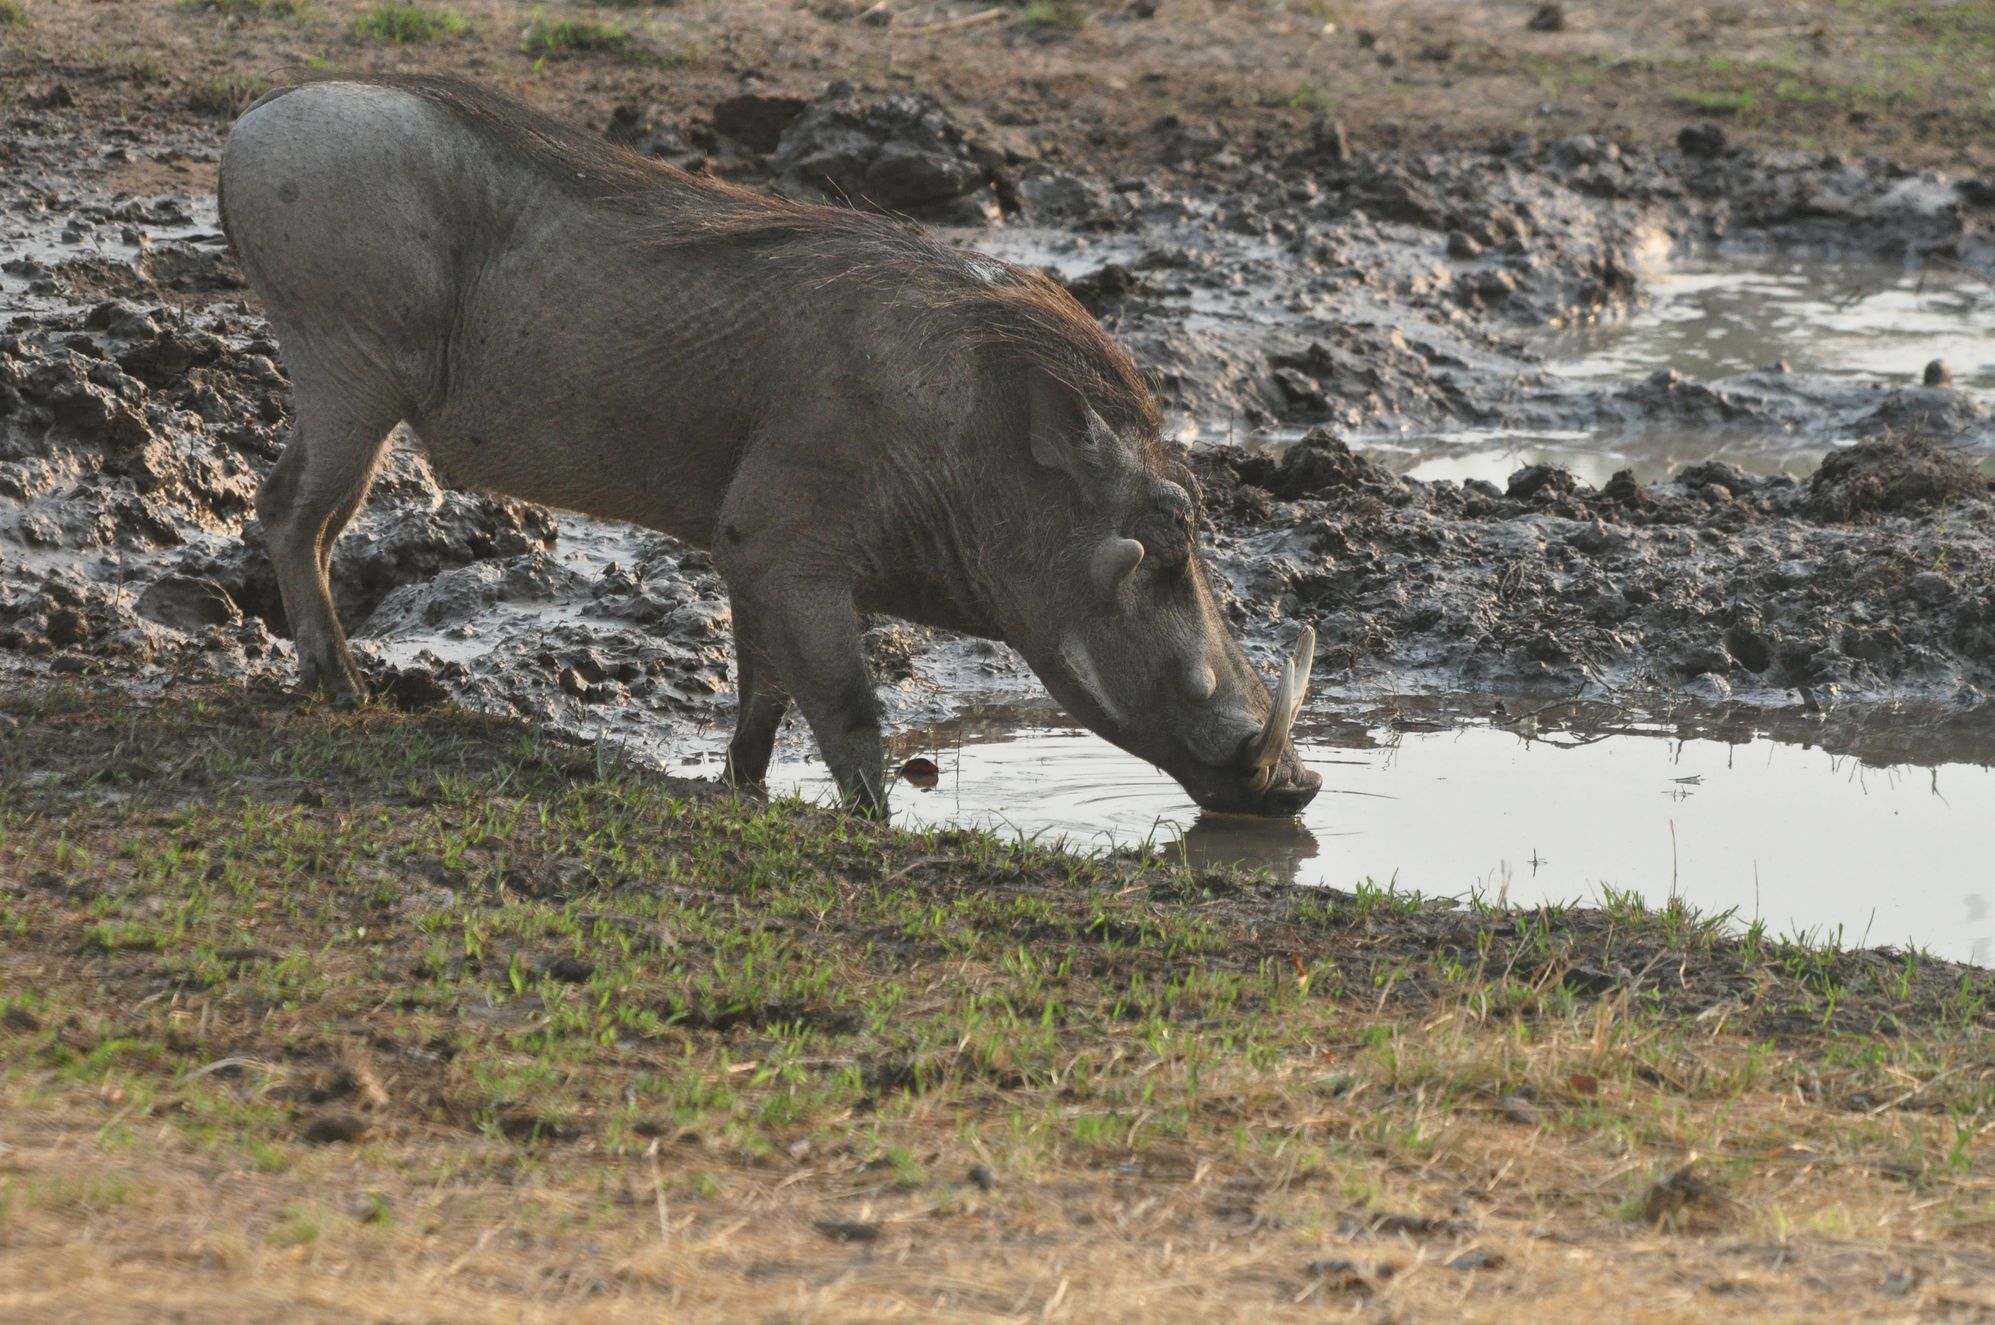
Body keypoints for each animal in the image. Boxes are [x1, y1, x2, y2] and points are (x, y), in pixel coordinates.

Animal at [218, 75, 1321, 817]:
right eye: (1167, 532)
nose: (1301, 786)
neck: (967, 439)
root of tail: (247, 126)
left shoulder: (748, 549)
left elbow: (764, 694)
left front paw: (742, 792)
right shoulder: (789, 543)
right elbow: (849, 708)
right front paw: (875, 830)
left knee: (306, 519)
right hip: (346, 371)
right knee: (291, 513)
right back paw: (340, 684)